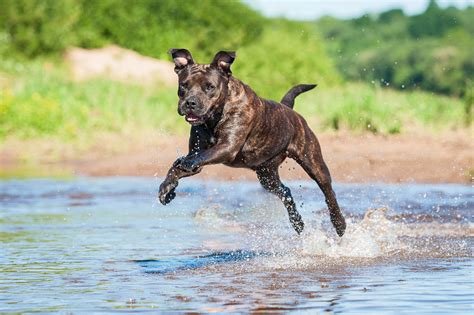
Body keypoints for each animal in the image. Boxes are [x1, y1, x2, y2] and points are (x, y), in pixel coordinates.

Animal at [157, 48, 346, 237]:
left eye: (209, 87)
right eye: (184, 85)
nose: (190, 102)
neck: (214, 117)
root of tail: (289, 110)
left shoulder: (226, 147)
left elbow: (193, 159)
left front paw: (180, 169)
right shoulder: (198, 154)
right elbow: (178, 167)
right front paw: (167, 188)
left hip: (313, 162)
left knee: (328, 191)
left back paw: (339, 223)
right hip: (267, 176)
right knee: (285, 191)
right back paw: (297, 222)